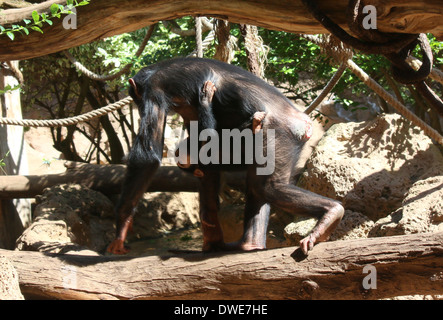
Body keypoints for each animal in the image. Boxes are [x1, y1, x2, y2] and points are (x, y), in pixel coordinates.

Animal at [106, 57, 344, 256]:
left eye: (135, 96)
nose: (136, 104)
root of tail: (304, 125)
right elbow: (208, 172)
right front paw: (212, 240)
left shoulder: (153, 92)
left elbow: (148, 156)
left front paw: (121, 225)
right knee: (257, 185)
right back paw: (250, 243)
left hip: (279, 133)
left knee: (268, 187)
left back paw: (330, 214)